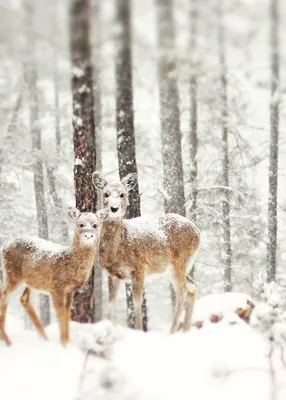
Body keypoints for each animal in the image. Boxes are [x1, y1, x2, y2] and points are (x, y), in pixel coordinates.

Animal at [0, 208, 107, 346]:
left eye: (95, 225)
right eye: (81, 224)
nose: (88, 235)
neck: (69, 262)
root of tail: (4, 247)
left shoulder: (70, 290)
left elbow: (67, 313)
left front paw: (67, 341)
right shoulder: (57, 287)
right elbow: (60, 313)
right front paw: (64, 343)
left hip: (33, 282)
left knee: (24, 299)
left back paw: (45, 338)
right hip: (13, 274)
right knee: (4, 295)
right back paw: (7, 340)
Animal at [92, 173, 200, 332]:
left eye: (122, 194)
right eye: (106, 194)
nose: (114, 208)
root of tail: (198, 232)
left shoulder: (139, 267)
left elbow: (137, 301)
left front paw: (138, 329)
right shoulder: (112, 274)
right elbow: (111, 303)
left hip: (180, 262)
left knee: (182, 292)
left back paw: (172, 331)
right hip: (177, 268)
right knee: (193, 287)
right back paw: (185, 330)